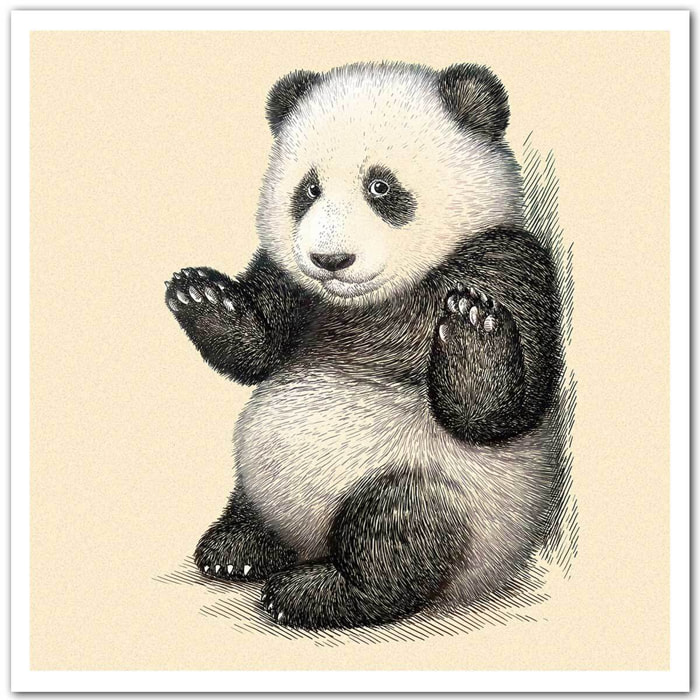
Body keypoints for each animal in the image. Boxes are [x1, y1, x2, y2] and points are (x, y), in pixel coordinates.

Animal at [165, 62, 563, 630]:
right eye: (308, 189)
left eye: (380, 186)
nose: (330, 260)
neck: (372, 303)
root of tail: (310, 540)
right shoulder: (298, 286)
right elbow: (258, 350)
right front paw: (202, 295)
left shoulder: (504, 260)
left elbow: (502, 412)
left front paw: (474, 330)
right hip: (258, 472)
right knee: (254, 500)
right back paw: (239, 546)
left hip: (447, 487)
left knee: (396, 532)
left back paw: (313, 591)